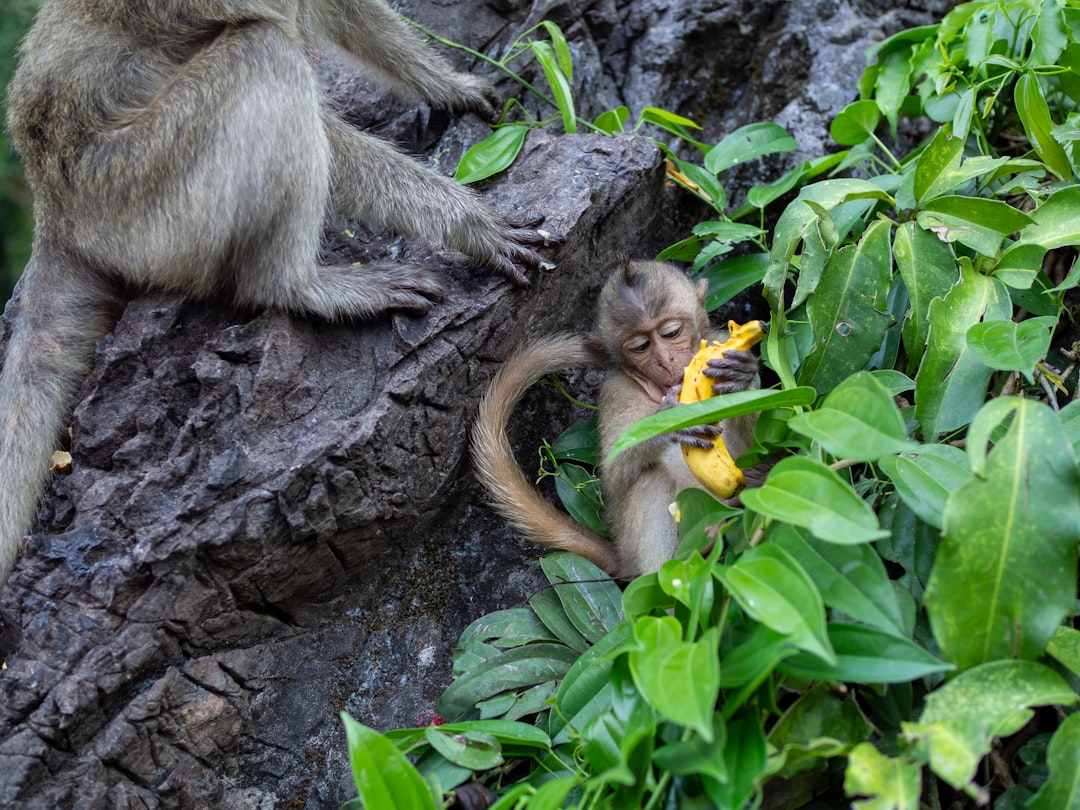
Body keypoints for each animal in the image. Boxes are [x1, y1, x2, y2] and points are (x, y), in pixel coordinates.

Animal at [0, 0, 552, 587]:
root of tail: (54, 205)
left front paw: (452, 85)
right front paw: (470, 224)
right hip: (144, 199)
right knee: (263, 51)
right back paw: (297, 285)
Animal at [470, 260, 760, 578]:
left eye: (671, 333)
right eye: (641, 347)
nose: (665, 361)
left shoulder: (718, 343)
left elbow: (756, 449)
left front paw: (739, 377)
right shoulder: (616, 390)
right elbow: (614, 479)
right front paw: (668, 422)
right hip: (632, 542)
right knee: (651, 482)